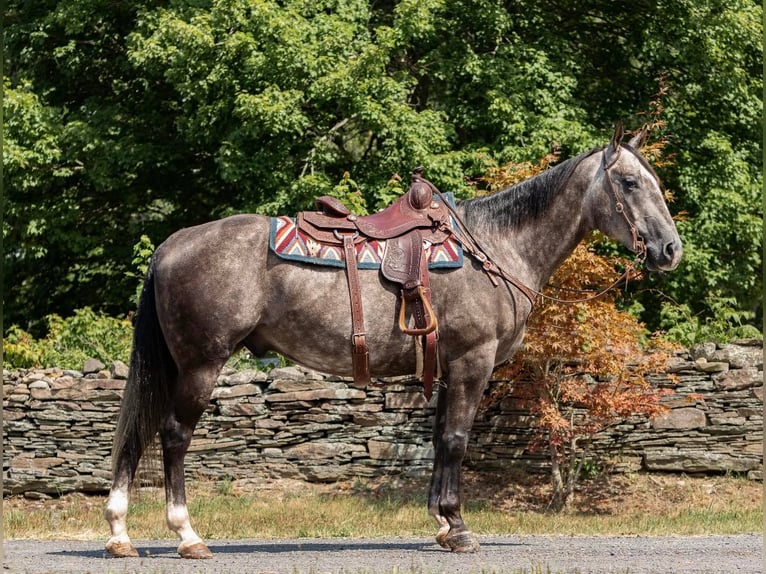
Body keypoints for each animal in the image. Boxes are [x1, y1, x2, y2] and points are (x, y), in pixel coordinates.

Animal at [103, 125, 684, 560]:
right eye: (629, 182)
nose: (670, 249)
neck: (497, 248)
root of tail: (172, 245)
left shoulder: (448, 366)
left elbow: (440, 441)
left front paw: (443, 525)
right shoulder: (472, 362)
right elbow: (457, 441)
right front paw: (460, 528)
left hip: (176, 366)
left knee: (138, 432)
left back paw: (120, 533)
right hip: (201, 364)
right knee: (173, 435)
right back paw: (187, 535)